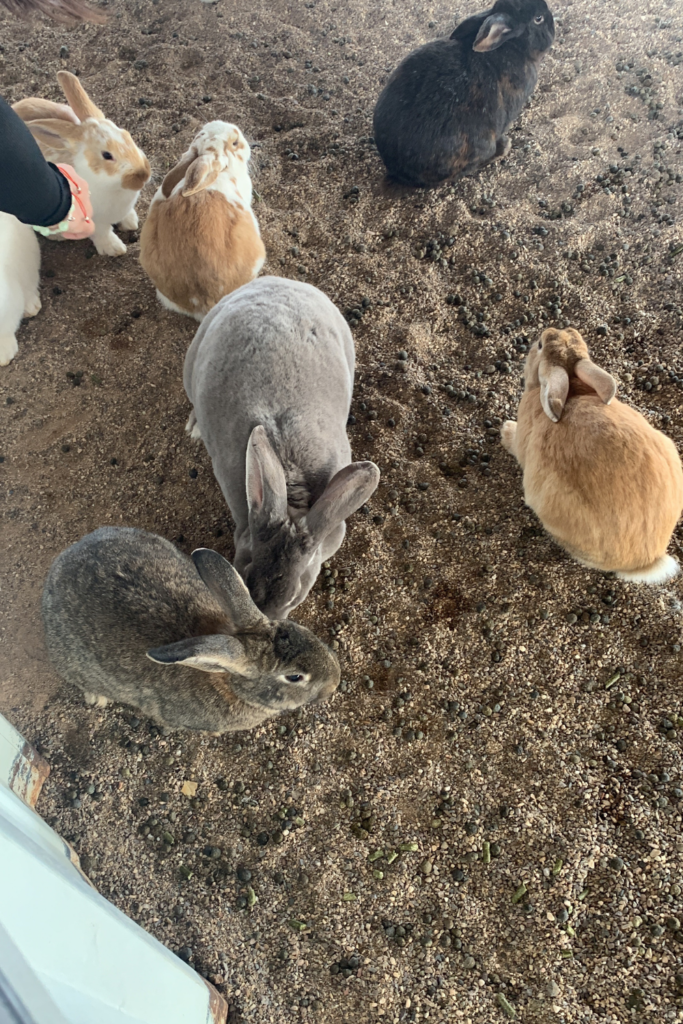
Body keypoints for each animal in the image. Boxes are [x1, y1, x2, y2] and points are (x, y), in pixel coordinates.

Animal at [374, 0, 557, 188]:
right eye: (538, 18)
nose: (552, 22)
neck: (514, 45)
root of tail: (398, 170)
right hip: (479, 146)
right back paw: (503, 147)